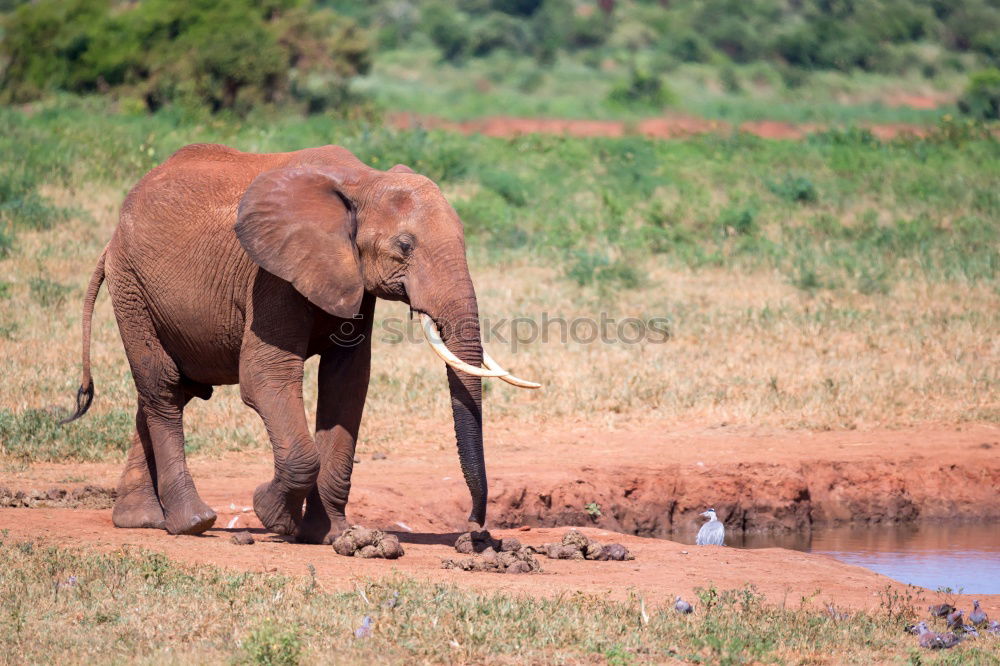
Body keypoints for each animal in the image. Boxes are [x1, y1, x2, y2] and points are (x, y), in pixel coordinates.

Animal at [63, 143, 540, 544]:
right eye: (405, 246)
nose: (476, 531)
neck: (363, 180)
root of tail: (113, 236)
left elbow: (347, 383)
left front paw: (330, 536)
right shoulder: (270, 276)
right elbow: (265, 378)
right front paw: (275, 518)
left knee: (169, 390)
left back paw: (140, 519)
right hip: (131, 286)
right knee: (161, 386)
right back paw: (193, 522)